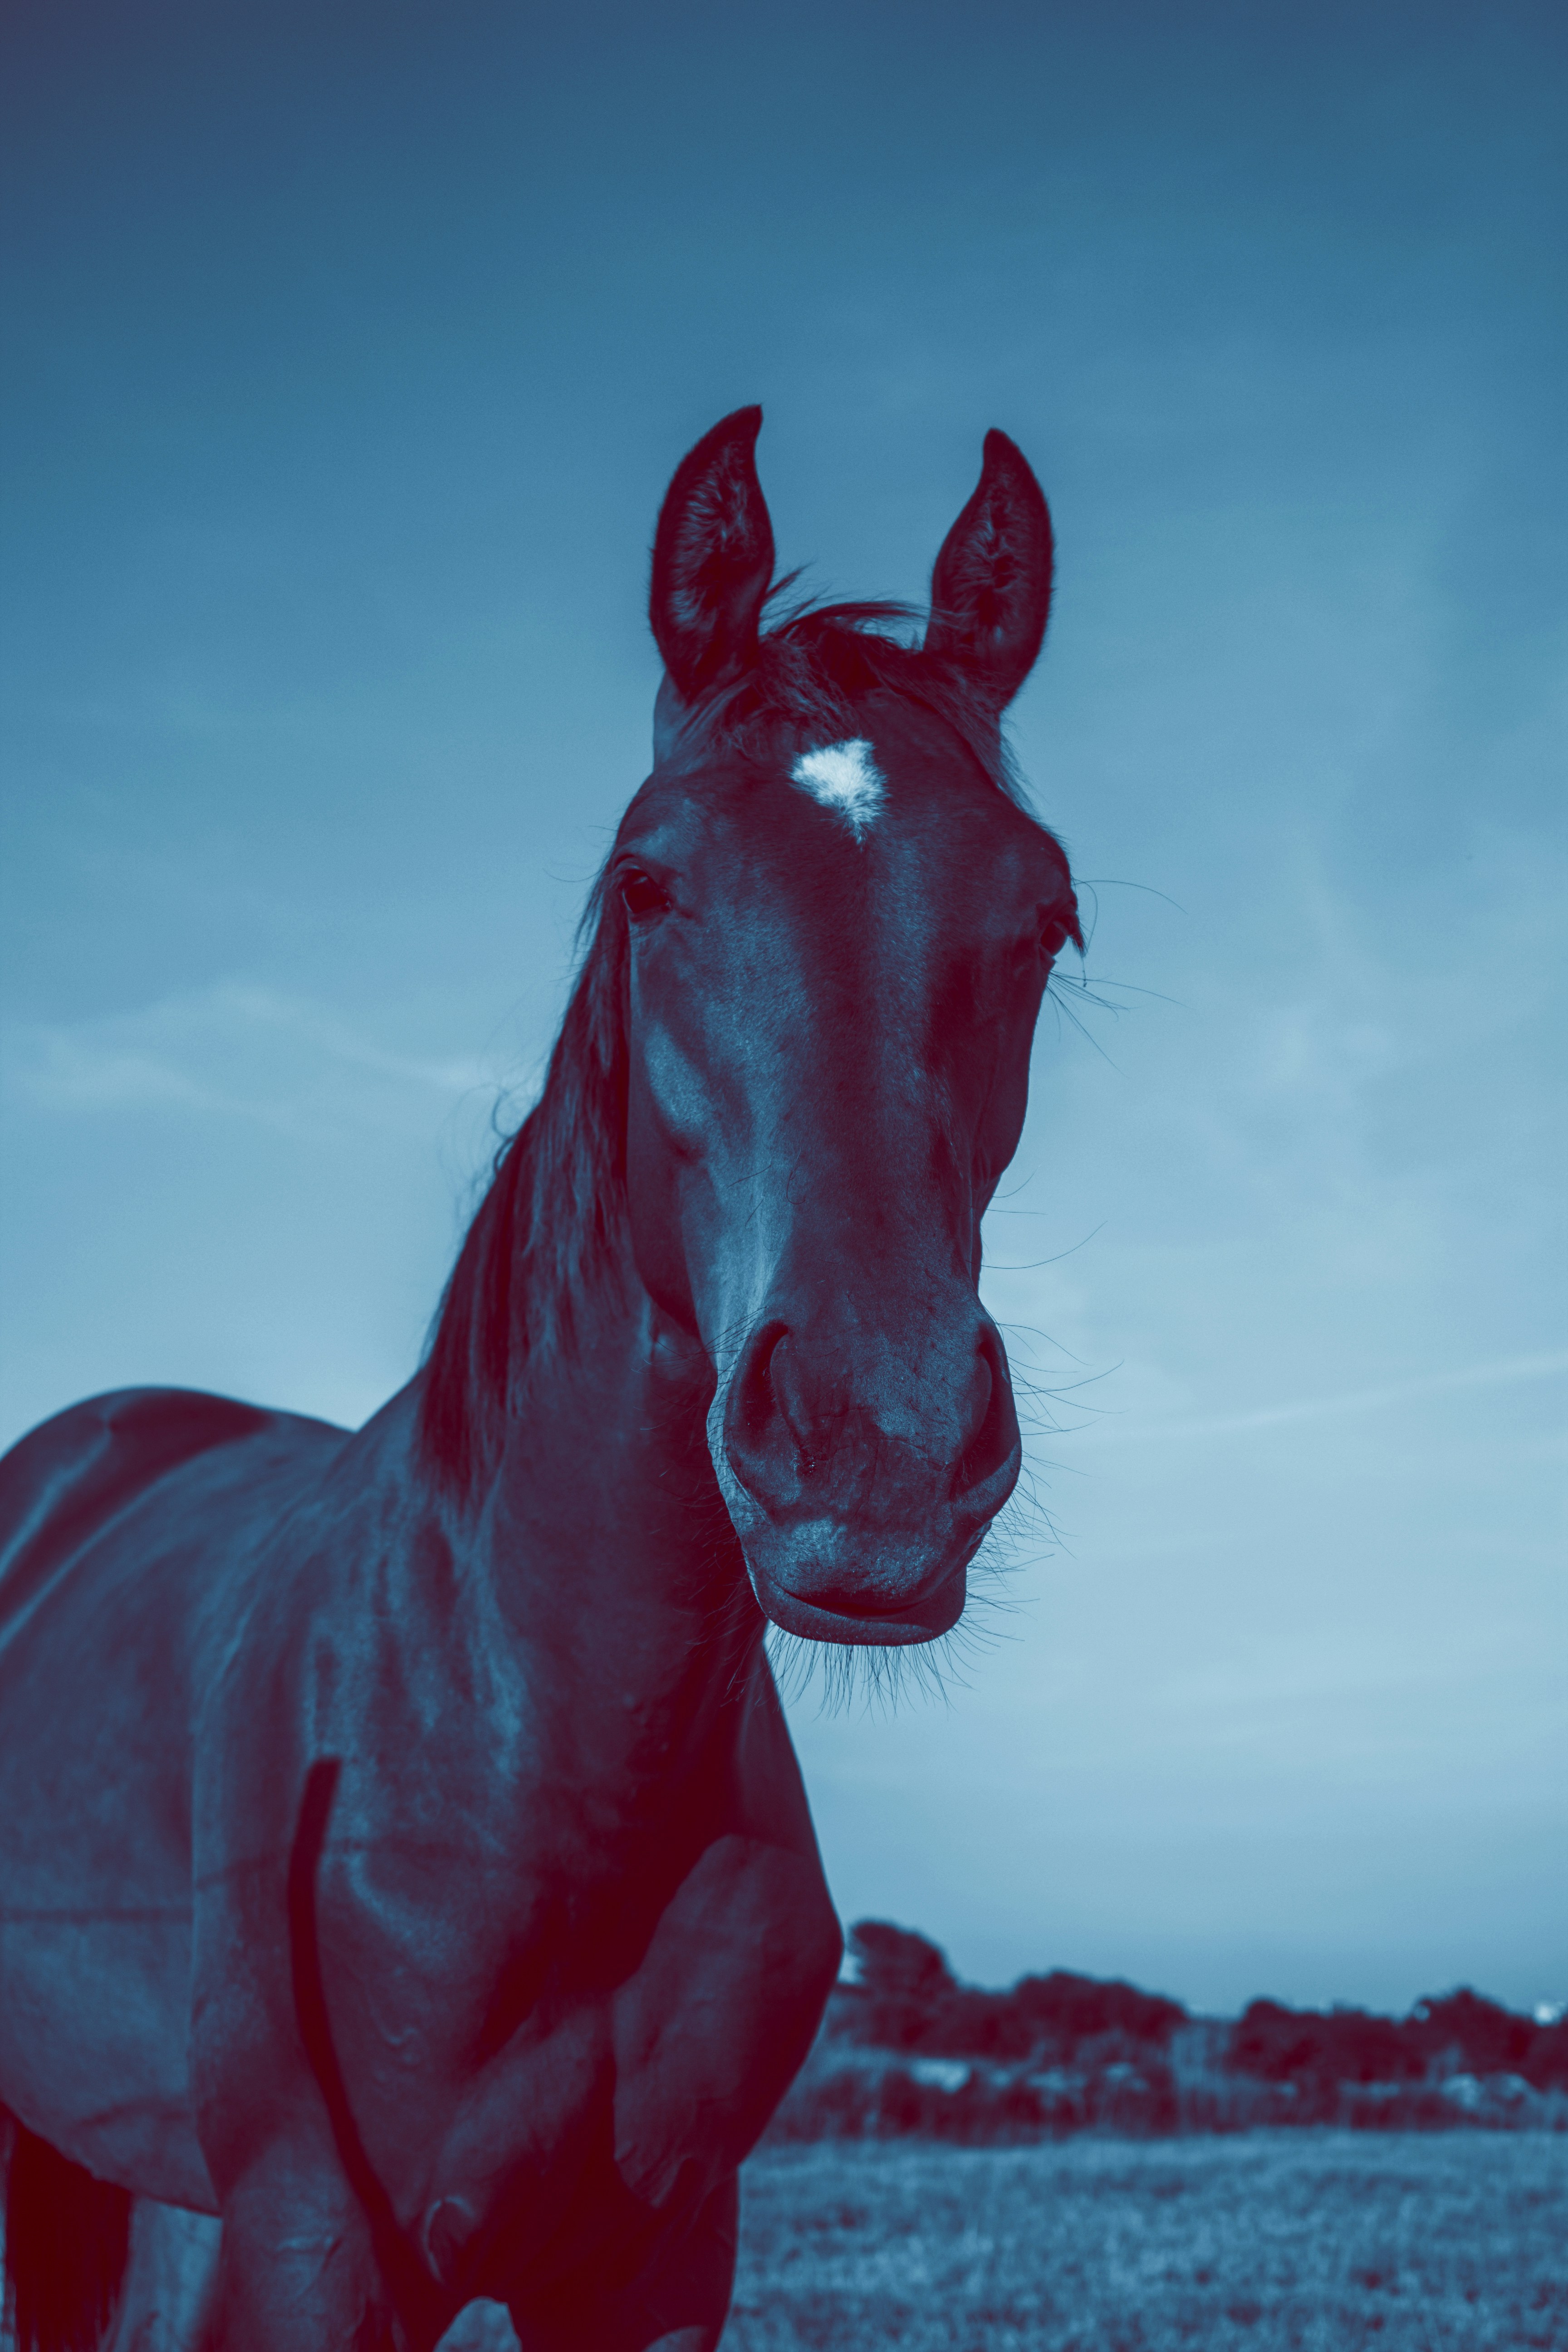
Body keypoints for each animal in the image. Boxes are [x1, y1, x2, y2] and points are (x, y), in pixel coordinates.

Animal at [0, 406, 1081, 2351]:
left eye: (1045, 916)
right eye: (648, 881)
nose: (873, 1452)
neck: (518, 1758)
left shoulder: (654, 2261)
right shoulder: (312, 2250)